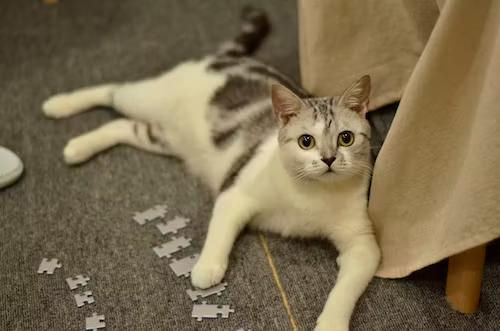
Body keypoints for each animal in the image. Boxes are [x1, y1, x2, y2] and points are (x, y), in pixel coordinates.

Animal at [43, 7, 380, 331]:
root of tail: (229, 57)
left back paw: (78, 147)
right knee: (113, 90)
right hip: (146, 98)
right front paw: (206, 268)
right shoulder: (235, 190)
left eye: (346, 138)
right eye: (306, 141)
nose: (328, 159)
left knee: (122, 126)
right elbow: (220, 230)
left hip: (162, 137)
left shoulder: (363, 245)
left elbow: (345, 290)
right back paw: (58, 105)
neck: (310, 195)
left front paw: (331, 324)